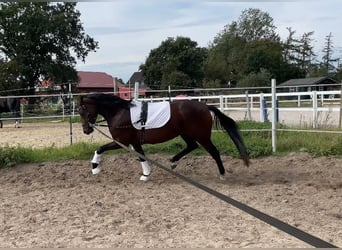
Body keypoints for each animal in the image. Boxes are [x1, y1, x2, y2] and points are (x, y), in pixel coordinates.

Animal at [80, 93, 250, 181]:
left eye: (83, 111)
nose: (86, 130)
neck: (120, 112)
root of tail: (205, 106)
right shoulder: (135, 142)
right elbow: (141, 156)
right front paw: (146, 174)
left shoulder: (122, 142)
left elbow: (100, 149)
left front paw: (95, 168)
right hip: (185, 133)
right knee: (192, 146)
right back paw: (173, 162)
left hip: (201, 136)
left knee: (214, 152)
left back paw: (222, 174)